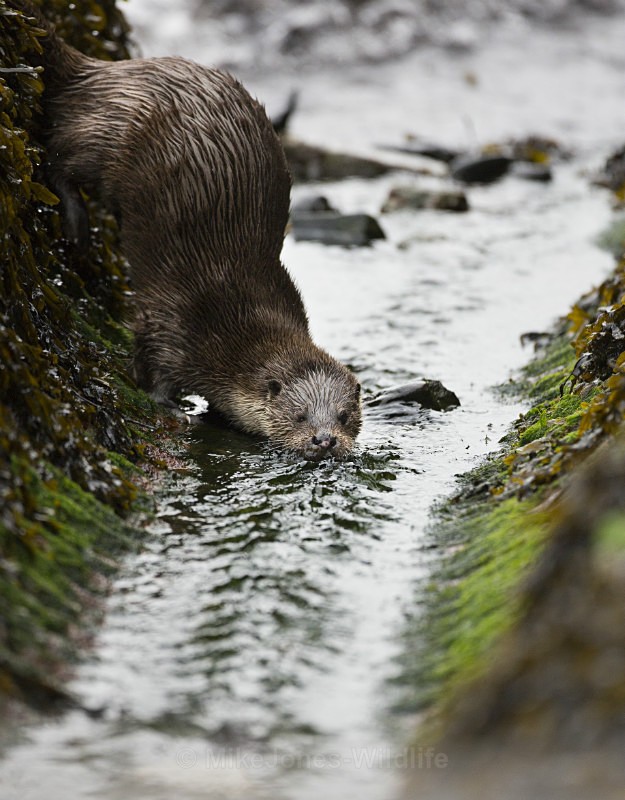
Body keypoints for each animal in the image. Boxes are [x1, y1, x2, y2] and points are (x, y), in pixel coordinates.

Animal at [14, 1, 362, 460]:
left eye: (344, 415)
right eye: (300, 415)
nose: (325, 439)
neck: (241, 326)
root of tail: (102, 72)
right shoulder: (174, 323)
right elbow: (151, 368)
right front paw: (175, 408)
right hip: (104, 140)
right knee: (59, 157)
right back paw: (76, 224)